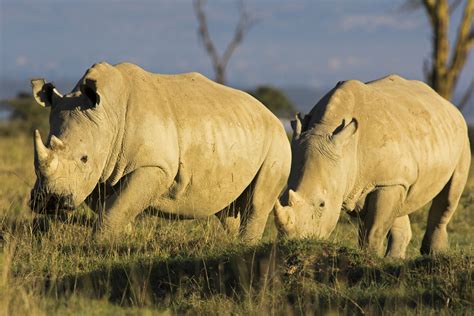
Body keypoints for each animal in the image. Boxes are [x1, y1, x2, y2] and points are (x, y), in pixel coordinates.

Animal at [274, 75, 470, 258]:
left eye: (322, 205)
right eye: (282, 198)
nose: (292, 244)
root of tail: (446, 103)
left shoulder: (386, 182)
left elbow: (374, 229)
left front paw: (369, 258)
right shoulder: (363, 180)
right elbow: (371, 225)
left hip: (461, 136)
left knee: (450, 195)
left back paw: (434, 254)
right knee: (401, 205)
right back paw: (395, 259)